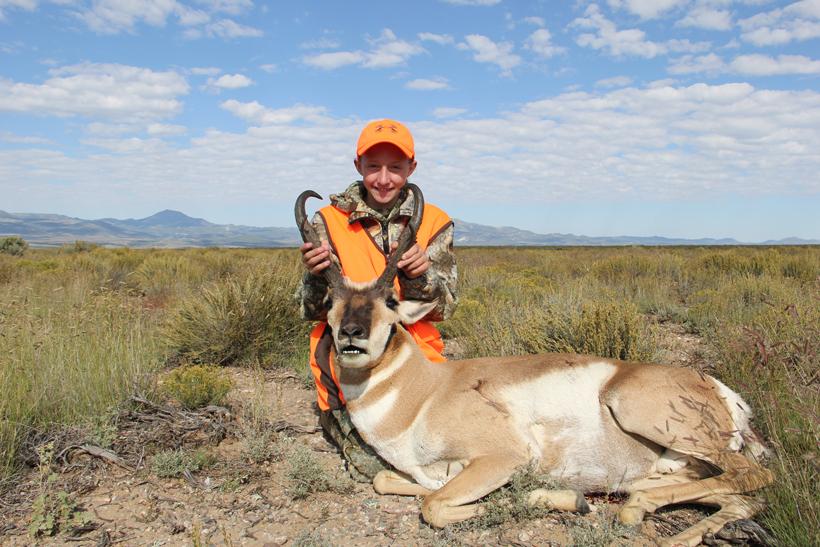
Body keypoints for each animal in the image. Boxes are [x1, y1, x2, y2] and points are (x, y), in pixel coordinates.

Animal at [295, 185, 773, 547]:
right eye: (331, 301)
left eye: (391, 301)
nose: (352, 334)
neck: (425, 392)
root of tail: (717, 387)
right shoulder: (424, 473)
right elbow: (389, 482)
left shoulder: (502, 458)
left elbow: (435, 506)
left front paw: (564, 500)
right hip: (679, 463)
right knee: (737, 495)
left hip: (647, 415)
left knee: (753, 476)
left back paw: (637, 511)